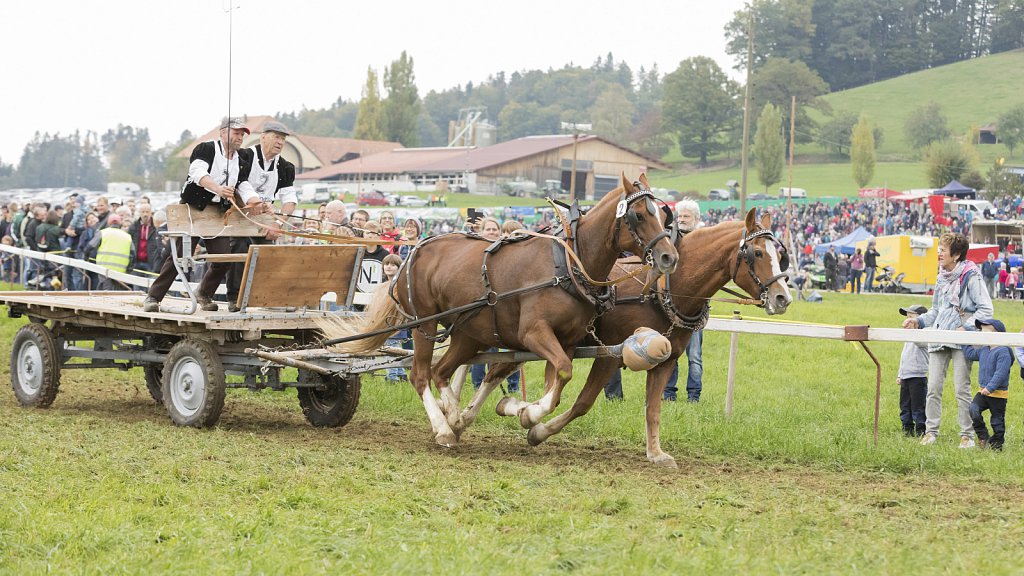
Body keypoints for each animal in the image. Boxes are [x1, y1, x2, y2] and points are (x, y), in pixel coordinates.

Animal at [468, 208, 790, 463]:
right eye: (757, 253)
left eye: (780, 255)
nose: (783, 297)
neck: (662, 289)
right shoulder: (610, 356)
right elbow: (583, 402)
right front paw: (538, 431)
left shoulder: (666, 361)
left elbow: (653, 408)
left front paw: (655, 453)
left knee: (496, 370)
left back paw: (475, 413)